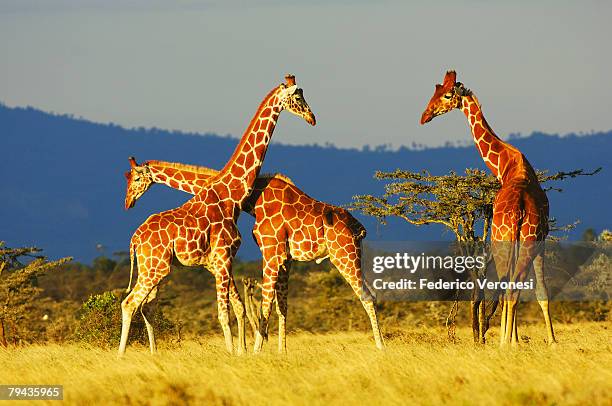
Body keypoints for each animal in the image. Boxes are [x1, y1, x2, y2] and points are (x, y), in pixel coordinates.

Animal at [118, 75, 316, 356]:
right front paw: (234, 353)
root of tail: (134, 239)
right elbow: (225, 313)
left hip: (156, 269)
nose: (312, 117)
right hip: (155, 268)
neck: (231, 193)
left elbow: (235, 309)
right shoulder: (222, 257)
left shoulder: (222, 261)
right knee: (131, 303)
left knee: (142, 305)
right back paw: (121, 355)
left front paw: (239, 351)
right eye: (298, 97)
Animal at [122, 159, 384, 352]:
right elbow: (281, 306)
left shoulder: (271, 252)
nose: (128, 202)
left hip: (344, 253)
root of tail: (359, 228)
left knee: (366, 296)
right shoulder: (284, 259)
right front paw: (280, 352)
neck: (253, 199)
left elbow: (264, 306)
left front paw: (257, 350)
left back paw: (381, 347)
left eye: (136, 178)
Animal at [420, 70, 556, 346]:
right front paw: (551, 341)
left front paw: (515, 339)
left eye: (446, 95)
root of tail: (519, 209)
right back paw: (511, 342)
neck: (507, 165)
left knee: (508, 287)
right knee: (513, 287)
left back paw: (505, 342)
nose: (424, 116)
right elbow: (540, 291)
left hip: (504, 241)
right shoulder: (541, 239)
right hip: (522, 242)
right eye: (436, 90)